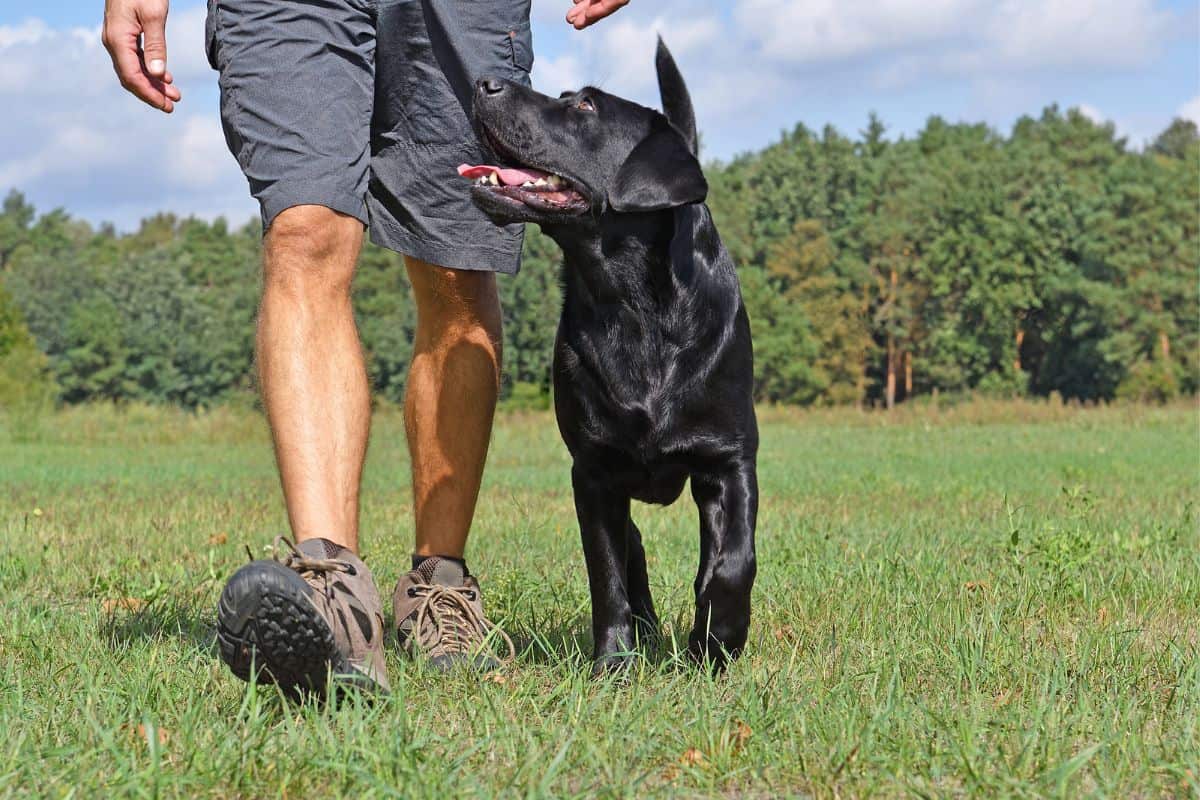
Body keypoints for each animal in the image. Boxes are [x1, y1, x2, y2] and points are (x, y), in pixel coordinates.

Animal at [460, 40, 753, 671]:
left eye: (586, 106)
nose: (483, 82)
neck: (632, 306)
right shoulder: (592, 472)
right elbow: (608, 572)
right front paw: (615, 662)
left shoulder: (729, 457)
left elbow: (731, 562)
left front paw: (718, 637)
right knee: (631, 549)